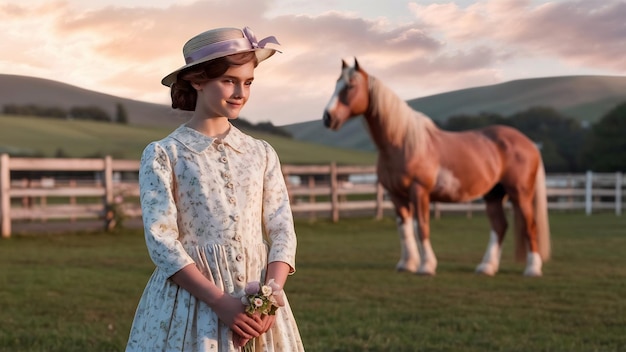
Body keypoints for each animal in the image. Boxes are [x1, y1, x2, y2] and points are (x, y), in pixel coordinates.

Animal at [320, 59, 548, 276]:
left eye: (350, 85)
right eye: (336, 83)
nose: (327, 117)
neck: (402, 143)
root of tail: (529, 143)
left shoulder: (419, 191)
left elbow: (422, 227)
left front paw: (426, 266)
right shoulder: (396, 195)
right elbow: (404, 230)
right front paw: (407, 264)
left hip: (520, 193)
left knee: (530, 226)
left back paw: (532, 269)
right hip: (493, 194)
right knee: (499, 226)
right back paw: (486, 267)